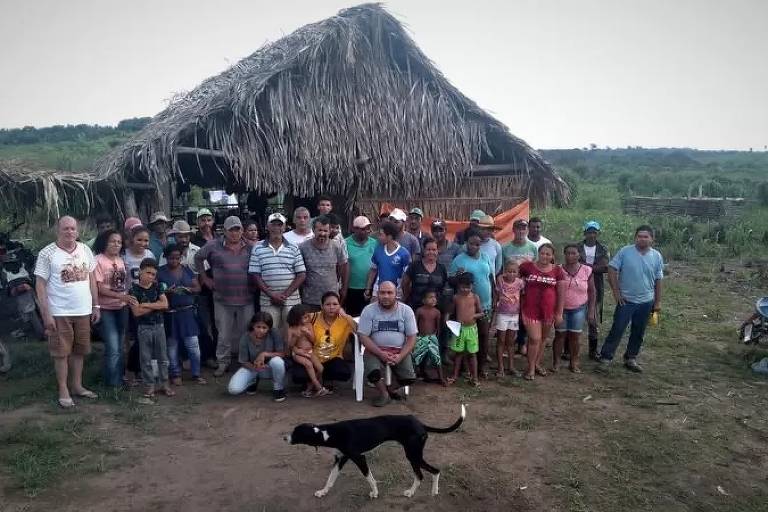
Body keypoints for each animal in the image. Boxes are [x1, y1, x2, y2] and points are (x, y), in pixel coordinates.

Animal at [284, 402, 464, 498]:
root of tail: (419, 423)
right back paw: (432, 491)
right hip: (414, 455)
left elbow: (369, 478)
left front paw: (375, 493)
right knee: (431, 472)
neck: (329, 433)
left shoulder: (359, 458)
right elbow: (330, 479)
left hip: (412, 455)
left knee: (425, 474)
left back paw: (414, 492)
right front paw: (323, 492)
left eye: (295, 433)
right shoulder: (340, 459)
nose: (284, 438)